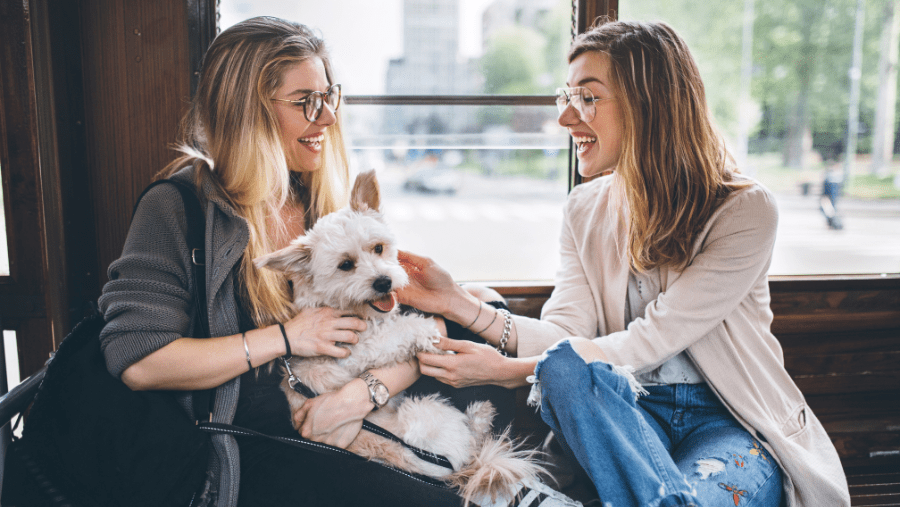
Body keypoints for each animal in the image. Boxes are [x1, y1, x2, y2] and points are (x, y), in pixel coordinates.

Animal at [250, 172, 552, 507]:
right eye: (345, 265)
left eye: (378, 248)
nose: (383, 282)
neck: (350, 309)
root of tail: (455, 470)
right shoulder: (351, 351)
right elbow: (402, 332)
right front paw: (428, 335)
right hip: (427, 411)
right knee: (473, 438)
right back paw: (480, 415)